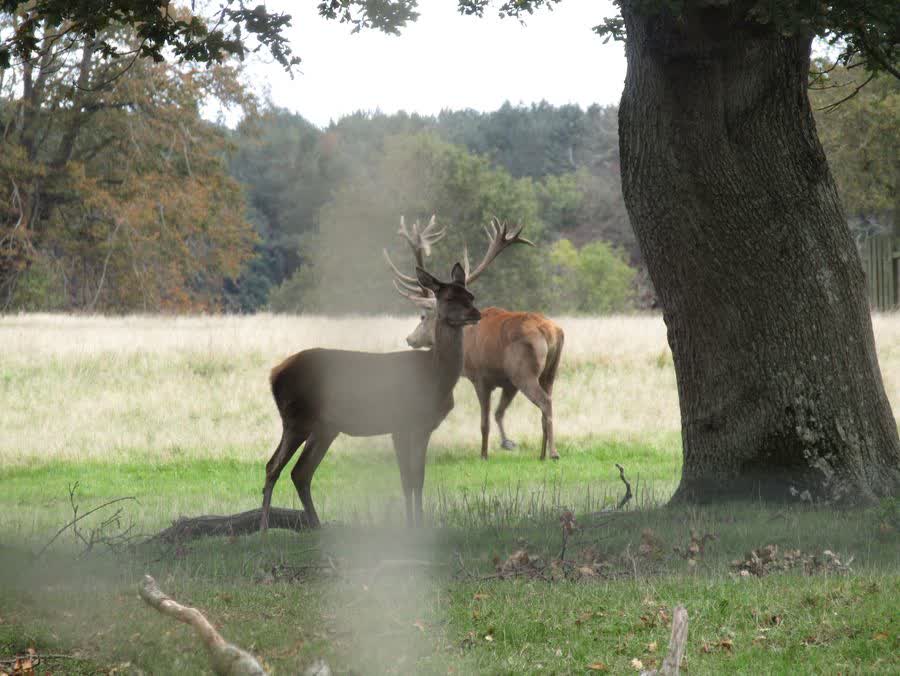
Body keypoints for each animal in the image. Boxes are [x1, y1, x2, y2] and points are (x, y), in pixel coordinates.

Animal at [260, 256, 481, 531]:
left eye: (471, 295)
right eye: (450, 298)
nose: (476, 313)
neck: (434, 376)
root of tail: (273, 373)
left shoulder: (423, 427)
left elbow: (418, 477)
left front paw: (418, 524)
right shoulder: (400, 424)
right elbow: (407, 479)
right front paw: (411, 526)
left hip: (325, 427)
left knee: (300, 472)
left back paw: (316, 527)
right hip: (296, 418)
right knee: (273, 466)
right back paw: (264, 528)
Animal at [385, 216, 565, 461]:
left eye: (422, 316)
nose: (410, 339)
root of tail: (551, 331)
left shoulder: (480, 376)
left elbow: (485, 421)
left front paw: (484, 454)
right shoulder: (507, 382)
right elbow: (499, 413)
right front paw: (508, 442)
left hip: (524, 371)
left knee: (546, 403)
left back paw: (554, 453)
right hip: (549, 372)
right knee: (546, 404)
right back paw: (542, 453)